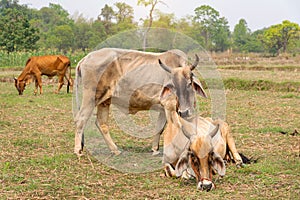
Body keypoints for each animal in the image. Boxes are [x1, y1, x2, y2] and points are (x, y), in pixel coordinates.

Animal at [74, 48, 207, 156]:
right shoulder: (169, 105)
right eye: (173, 85)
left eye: (189, 83)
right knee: (81, 119)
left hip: (105, 101)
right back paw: (78, 150)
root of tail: (85, 58)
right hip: (91, 97)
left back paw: (115, 150)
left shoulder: (164, 109)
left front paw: (155, 150)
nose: (184, 111)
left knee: (101, 123)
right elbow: (177, 128)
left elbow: (159, 128)